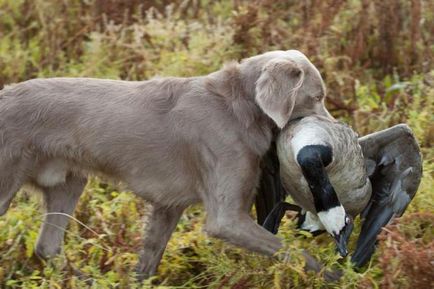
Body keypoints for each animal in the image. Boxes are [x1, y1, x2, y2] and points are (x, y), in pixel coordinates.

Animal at [0, 49, 330, 276]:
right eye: (317, 97)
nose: (335, 128)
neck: (239, 106)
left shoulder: (168, 206)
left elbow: (148, 263)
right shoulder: (227, 220)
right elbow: (299, 254)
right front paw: (336, 274)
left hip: (69, 183)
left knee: (47, 246)